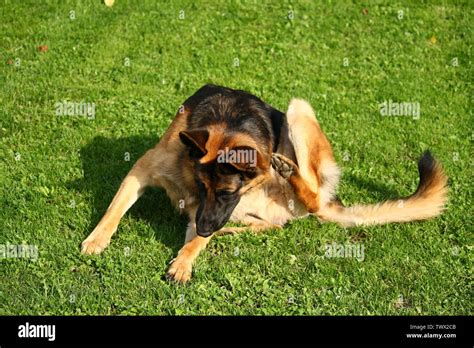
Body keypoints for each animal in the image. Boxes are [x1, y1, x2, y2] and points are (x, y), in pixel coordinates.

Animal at [80, 83, 448, 282]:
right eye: (201, 187)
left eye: (227, 192)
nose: (206, 228)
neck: (227, 122)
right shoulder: (145, 170)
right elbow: (113, 210)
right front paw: (97, 239)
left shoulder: (209, 210)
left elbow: (193, 243)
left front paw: (184, 260)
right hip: (253, 210)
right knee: (275, 225)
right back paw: (232, 230)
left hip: (299, 112)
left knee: (311, 198)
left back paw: (287, 171)